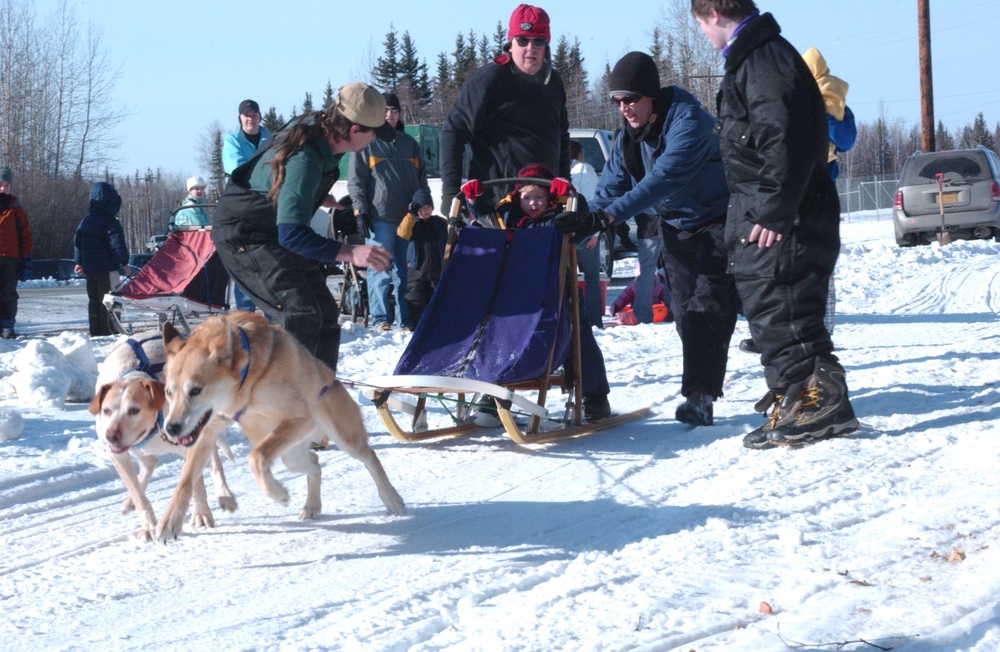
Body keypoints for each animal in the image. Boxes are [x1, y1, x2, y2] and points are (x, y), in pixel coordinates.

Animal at [90, 332, 238, 540]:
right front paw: (148, 525)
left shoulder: (190, 444)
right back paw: (130, 501)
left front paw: (200, 514)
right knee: (149, 463)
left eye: (134, 410)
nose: (111, 436)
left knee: (214, 460)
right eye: (106, 410)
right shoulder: (117, 456)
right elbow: (137, 493)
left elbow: (195, 484)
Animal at [156, 310, 406, 540]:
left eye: (196, 390)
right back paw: (312, 506)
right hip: (291, 456)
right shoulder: (205, 432)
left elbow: (256, 457)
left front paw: (276, 493)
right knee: (315, 464)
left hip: (342, 438)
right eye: (168, 392)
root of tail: (333, 379)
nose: (171, 428)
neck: (248, 376)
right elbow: (186, 480)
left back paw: (392, 498)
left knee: (370, 457)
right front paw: (170, 521)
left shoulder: (300, 419)